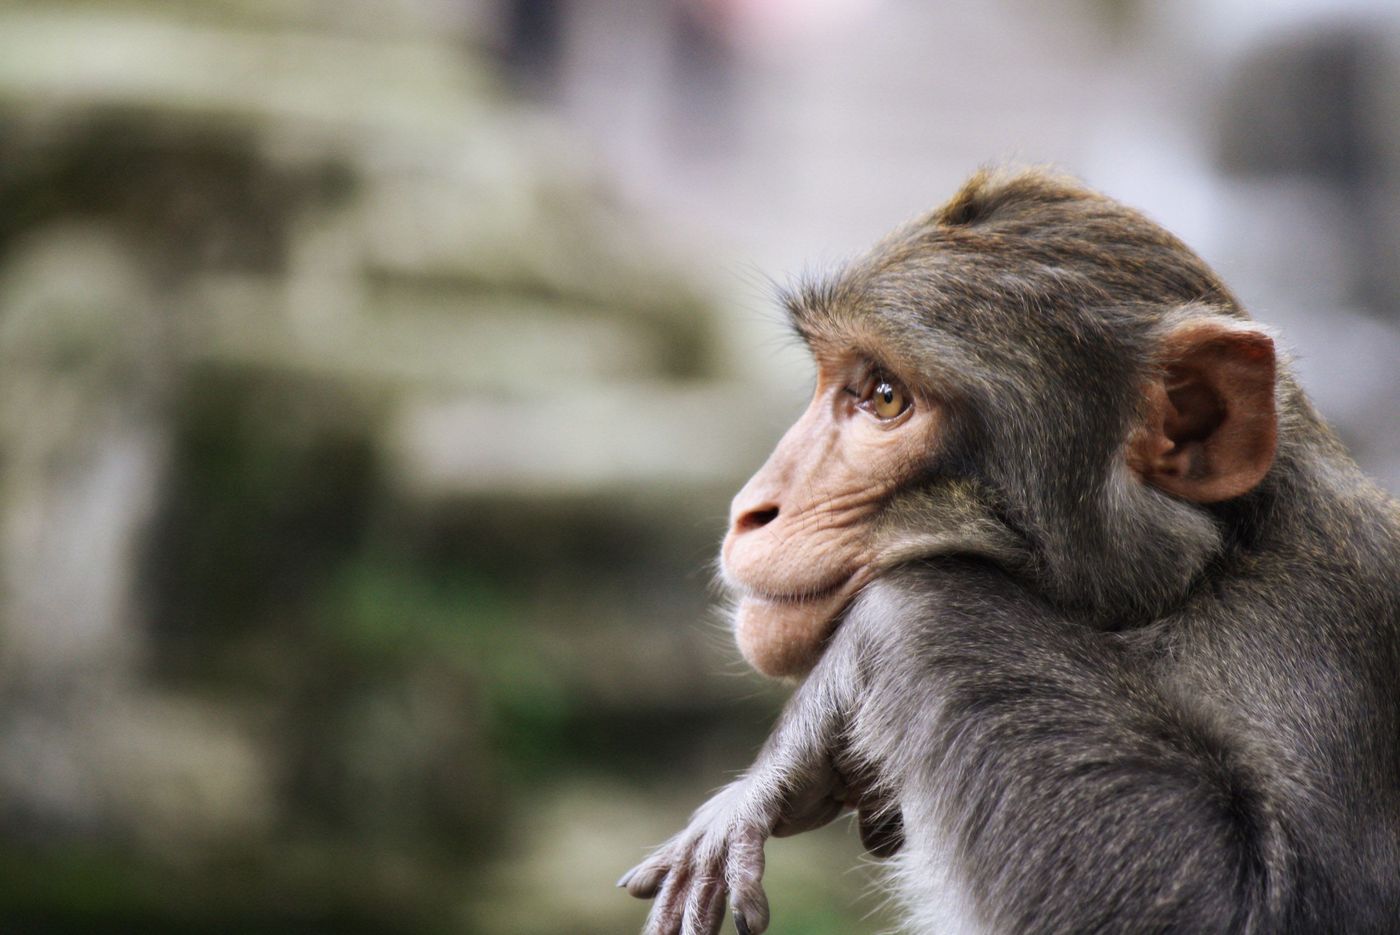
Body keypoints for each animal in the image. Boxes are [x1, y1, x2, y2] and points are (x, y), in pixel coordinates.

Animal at [618, 167, 1400, 934]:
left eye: (885, 396)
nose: (751, 510)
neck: (1206, 571)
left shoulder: (1304, 640)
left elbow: (1251, 902)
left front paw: (813, 716)